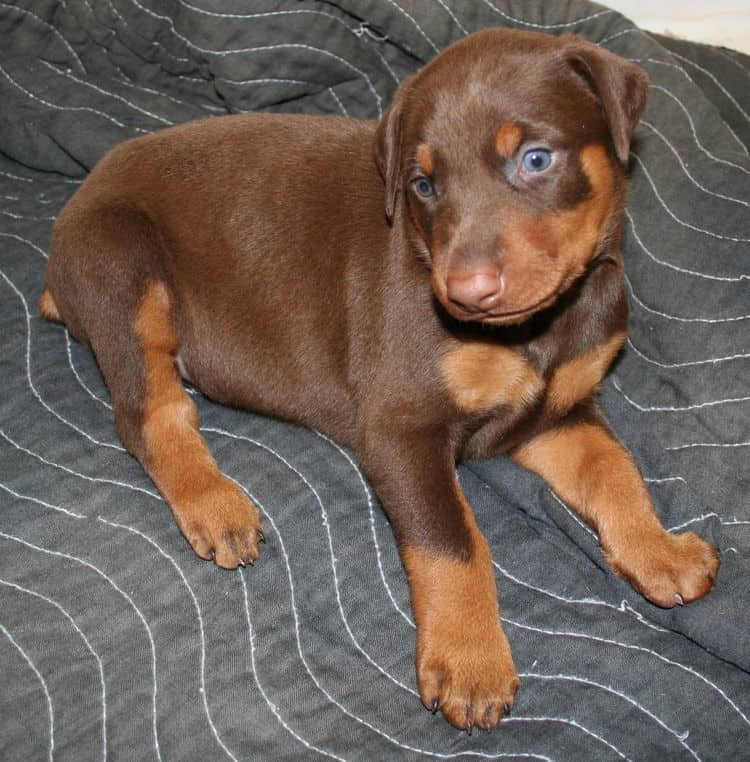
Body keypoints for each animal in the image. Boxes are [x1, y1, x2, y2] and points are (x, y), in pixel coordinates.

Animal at [41, 29, 724, 732]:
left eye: (536, 159)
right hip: (120, 263)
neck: (540, 327)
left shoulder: (554, 411)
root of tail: (82, 196)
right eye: (422, 184)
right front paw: (471, 661)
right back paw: (214, 503)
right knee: (149, 412)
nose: (465, 292)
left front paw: (659, 551)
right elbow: (453, 540)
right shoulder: (401, 427)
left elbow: (613, 469)